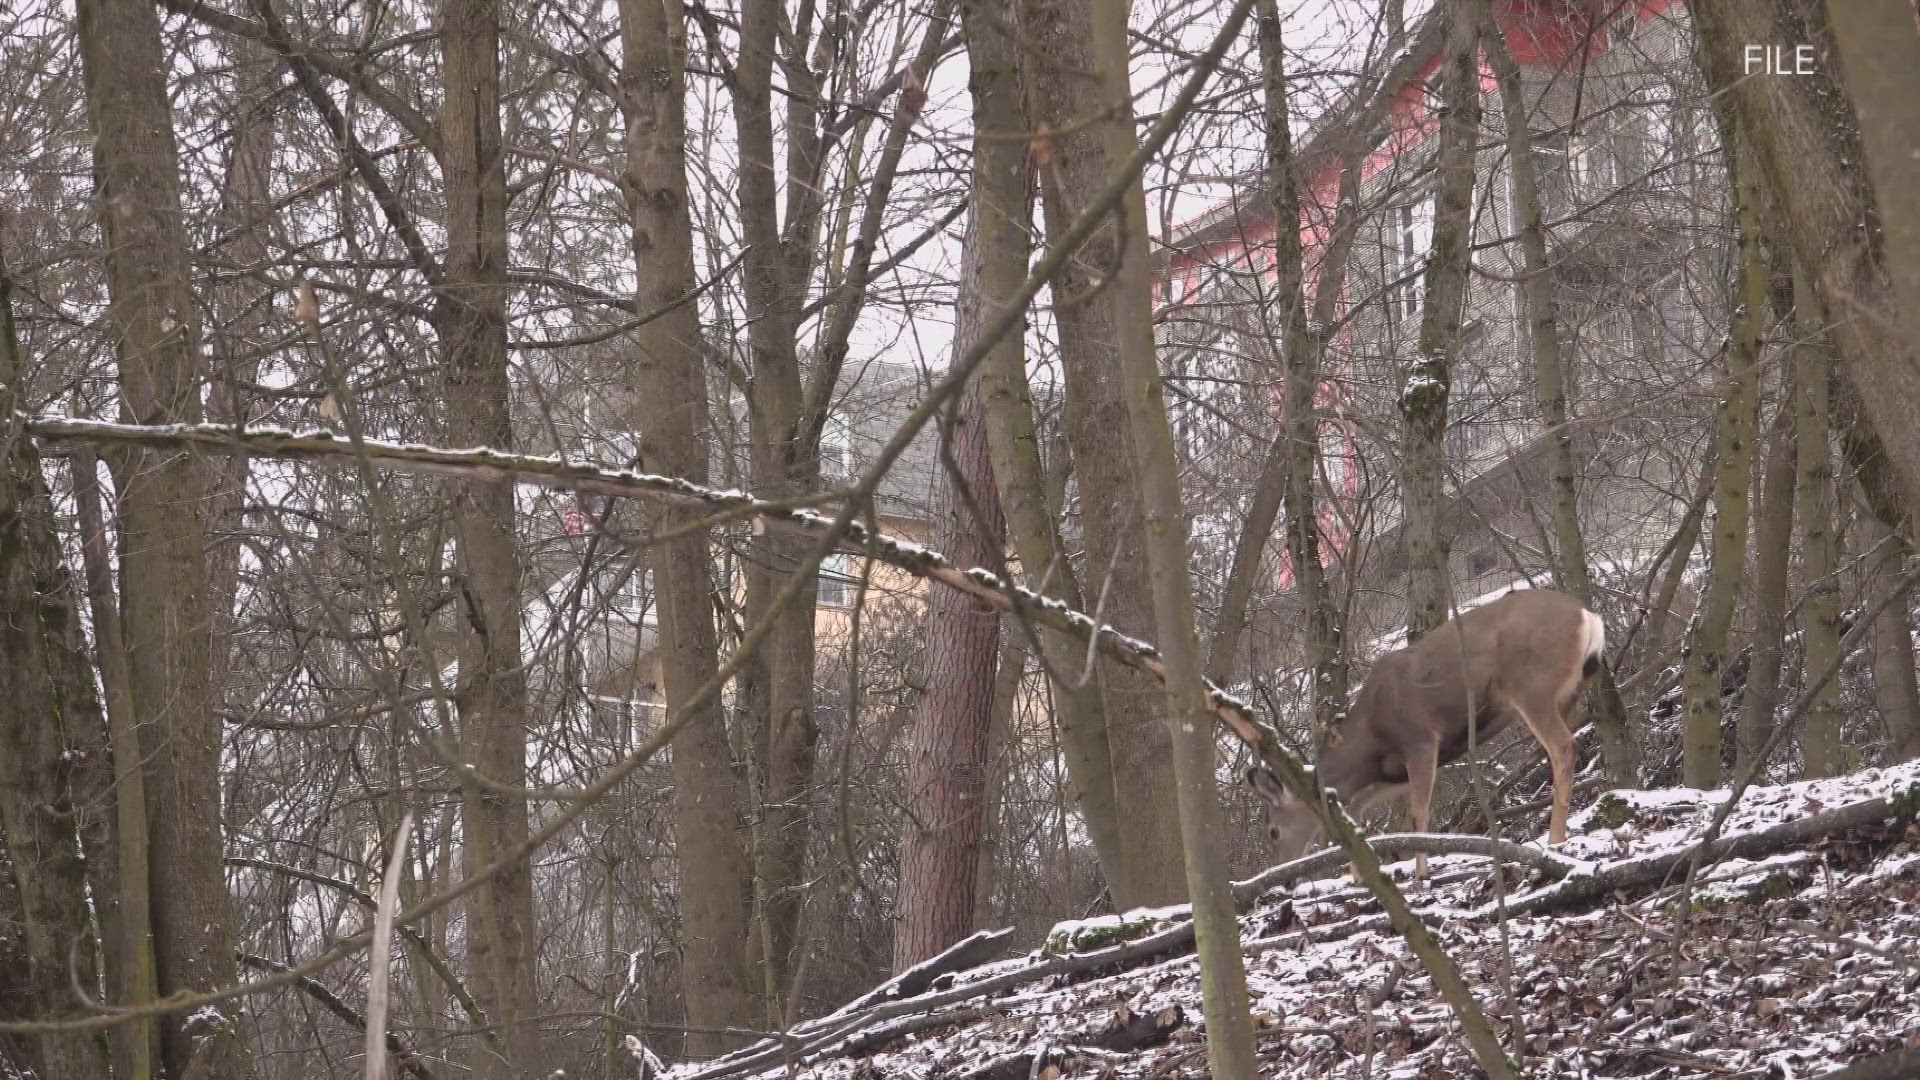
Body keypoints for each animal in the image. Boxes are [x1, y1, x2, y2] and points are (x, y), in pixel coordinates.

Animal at [1244, 588, 1605, 876]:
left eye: (1273, 831)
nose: (1282, 872)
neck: (1368, 740)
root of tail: (1587, 616)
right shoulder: (1390, 773)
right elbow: (1359, 814)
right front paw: (1360, 878)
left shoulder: (1419, 740)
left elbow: (1418, 816)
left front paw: (1420, 874)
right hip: (1570, 690)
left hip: (1531, 686)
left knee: (1562, 747)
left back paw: (1555, 838)